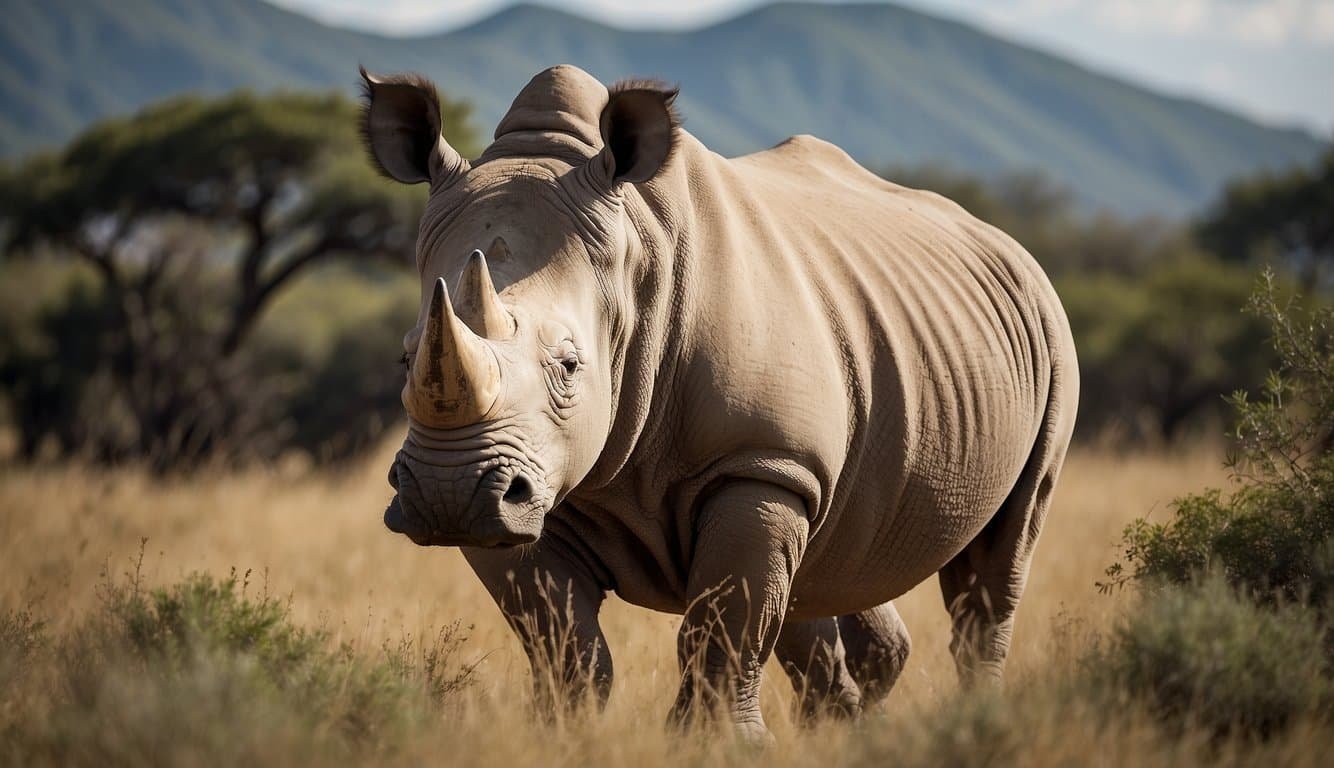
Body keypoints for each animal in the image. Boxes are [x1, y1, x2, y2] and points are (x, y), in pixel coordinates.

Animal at [365, 64, 1072, 736]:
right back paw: (849, 725)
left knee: (994, 568)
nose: (446, 494)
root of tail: (1005, 243)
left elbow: (729, 624)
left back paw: (973, 718)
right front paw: (560, 732)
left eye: (568, 365)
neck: (635, 262)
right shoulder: (521, 487)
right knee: (824, 562)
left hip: (1050, 338)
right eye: (404, 358)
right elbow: (565, 642)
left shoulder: (759, 461)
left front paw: (719, 742)